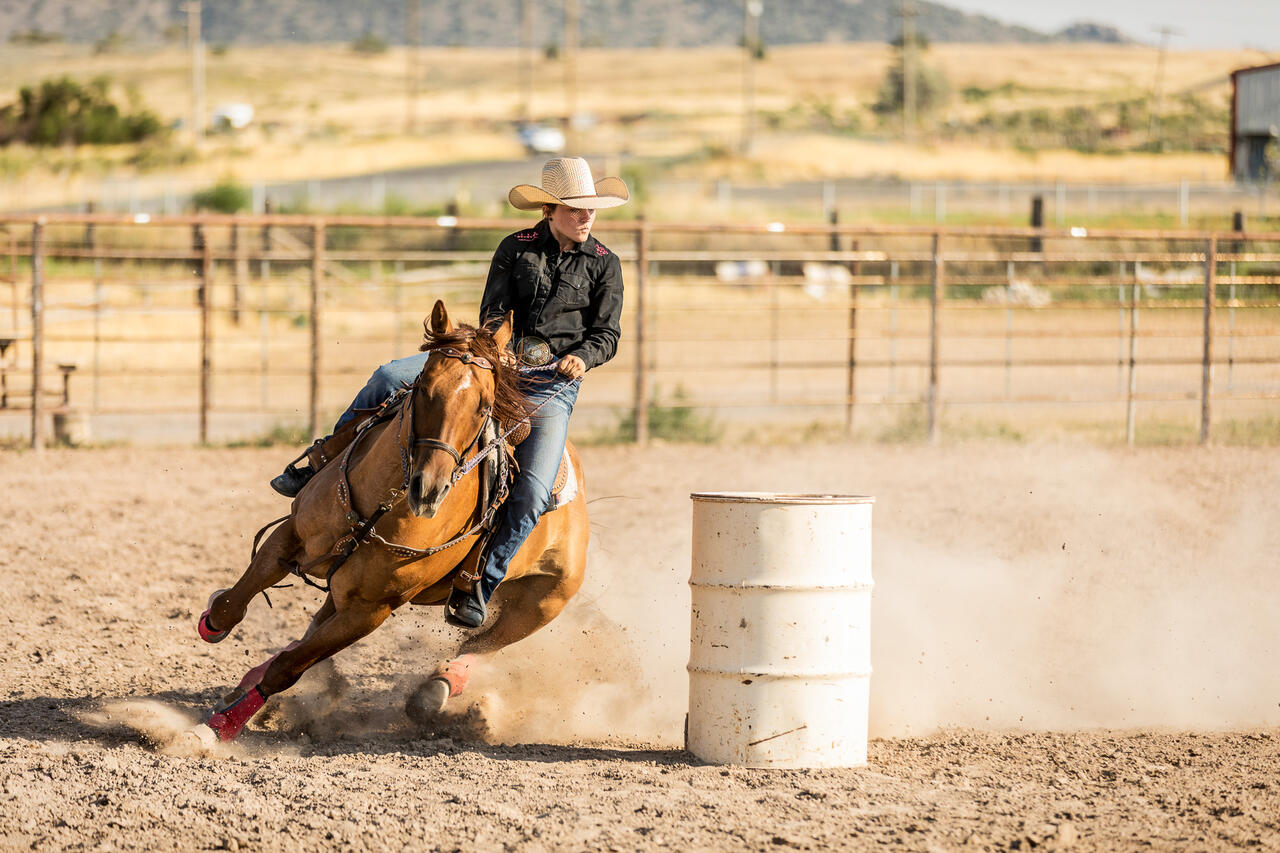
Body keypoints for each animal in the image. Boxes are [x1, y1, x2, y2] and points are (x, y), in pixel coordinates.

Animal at [192, 300, 590, 742]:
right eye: (424, 388)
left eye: (484, 406)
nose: (429, 489)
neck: (381, 504)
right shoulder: (291, 534)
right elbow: (232, 604)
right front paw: (212, 625)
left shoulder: (370, 611)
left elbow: (289, 668)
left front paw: (221, 728)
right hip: (343, 587)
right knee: (311, 629)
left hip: (541, 604)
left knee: (479, 646)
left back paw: (438, 690)